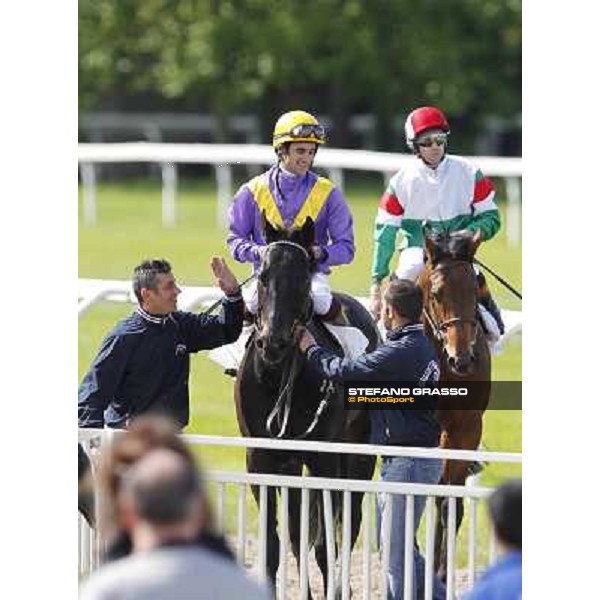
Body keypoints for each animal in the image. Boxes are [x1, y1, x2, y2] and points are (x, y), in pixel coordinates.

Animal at [234, 218, 380, 596]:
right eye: (263, 276)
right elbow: (276, 542)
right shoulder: (261, 459)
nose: (273, 342)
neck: (278, 377)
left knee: (349, 523)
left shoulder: (322, 458)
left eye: (302, 278)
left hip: (357, 454)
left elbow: (325, 543)